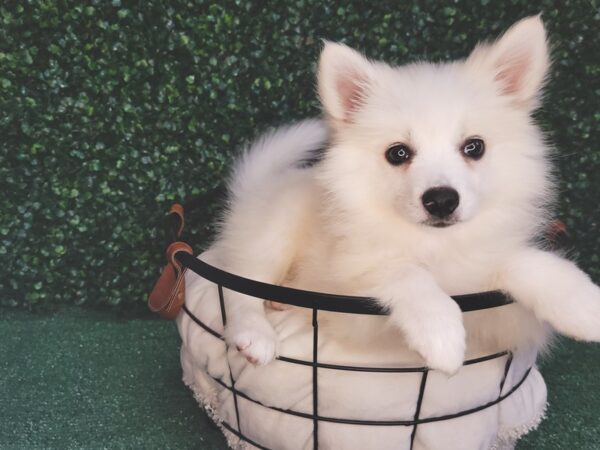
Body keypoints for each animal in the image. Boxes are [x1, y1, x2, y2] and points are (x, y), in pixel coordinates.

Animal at [211, 15, 600, 374]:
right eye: (397, 153)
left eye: (474, 147)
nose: (441, 200)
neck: (436, 246)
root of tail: (253, 190)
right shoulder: (352, 296)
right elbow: (402, 271)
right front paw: (441, 334)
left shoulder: (500, 312)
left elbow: (519, 261)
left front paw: (581, 304)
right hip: (274, 231)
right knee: (239, 286)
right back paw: (255, 334)